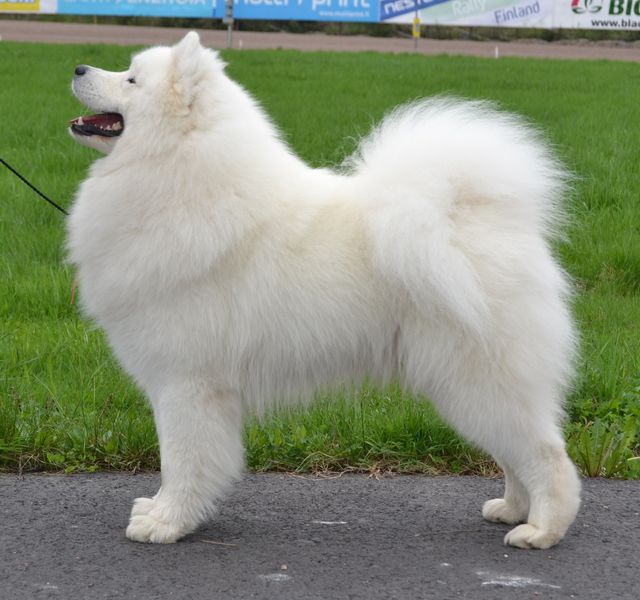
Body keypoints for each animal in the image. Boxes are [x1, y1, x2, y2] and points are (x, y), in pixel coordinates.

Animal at [67, 31, 584, 548]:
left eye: (131, 80)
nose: (77, 68)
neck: (178, 173)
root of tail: (481, 217)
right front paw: (160, 511)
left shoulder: (187, 382)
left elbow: (181, 460)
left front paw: (167, 522)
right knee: (517, 455)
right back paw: (512, 509)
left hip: (478, 381)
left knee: (547, 456)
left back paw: (541, 529)